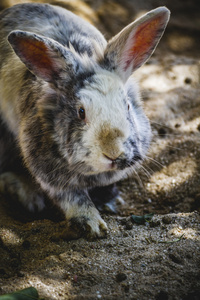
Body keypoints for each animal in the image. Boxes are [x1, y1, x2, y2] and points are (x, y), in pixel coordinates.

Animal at [0, 2, 170, 239]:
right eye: (81, 112)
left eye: (127, 105)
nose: (113, 153)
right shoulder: (51, 174)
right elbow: (73, 198)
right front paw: (93, 225)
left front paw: (110, 202)